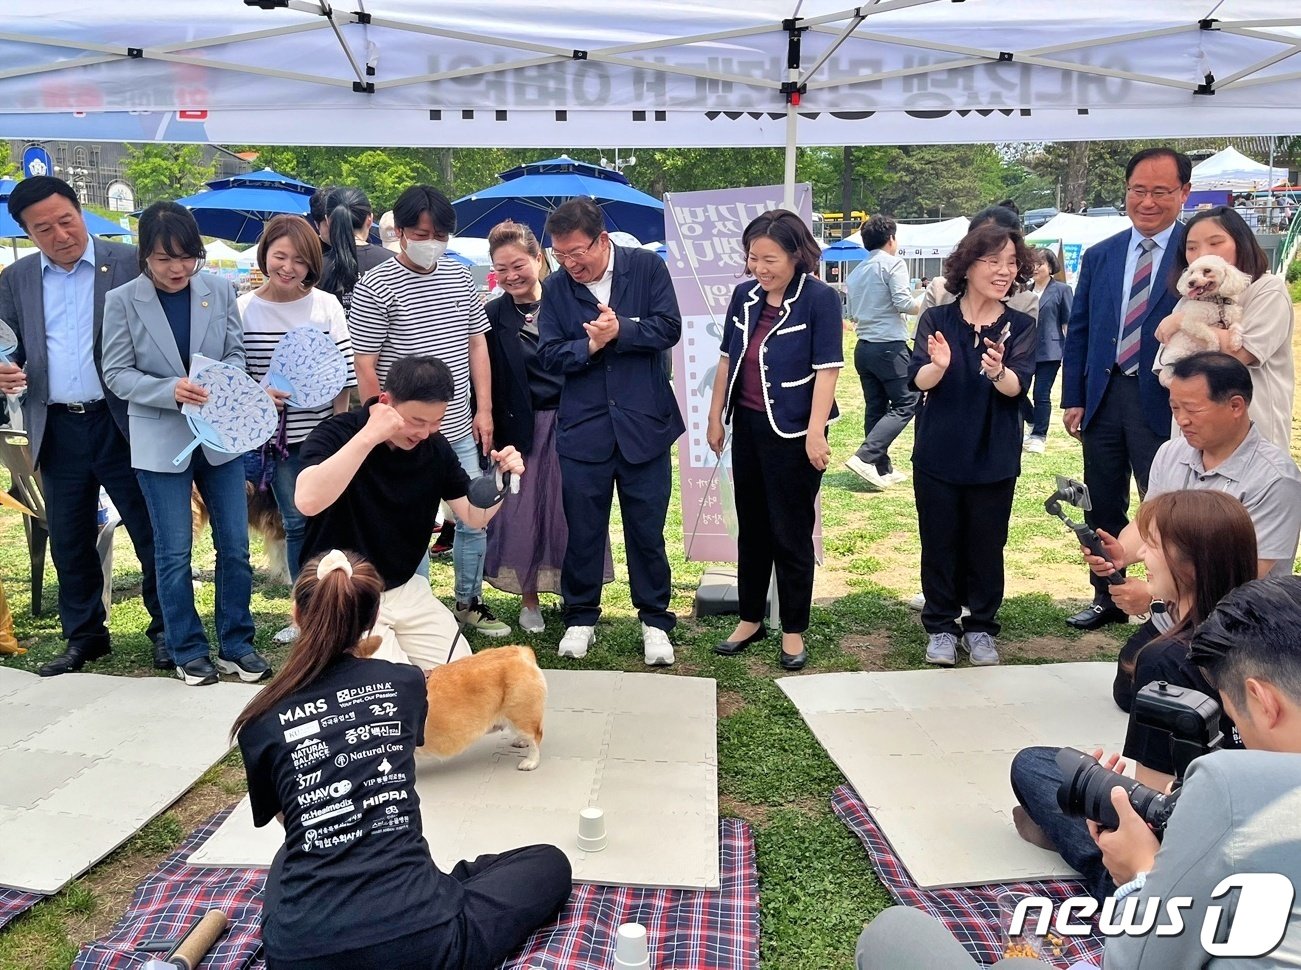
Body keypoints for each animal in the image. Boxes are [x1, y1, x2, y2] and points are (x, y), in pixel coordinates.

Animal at [1160, 254, 1248, 387]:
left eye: (1207, 270)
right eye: (1191, 273)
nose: (1190, 282)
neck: (1216, 301)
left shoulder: (1232, 318)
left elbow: (1237, 327)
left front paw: (1236, 342)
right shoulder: (1191, 323)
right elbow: (1209, 333)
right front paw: (1214, 346)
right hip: (1179, 355)